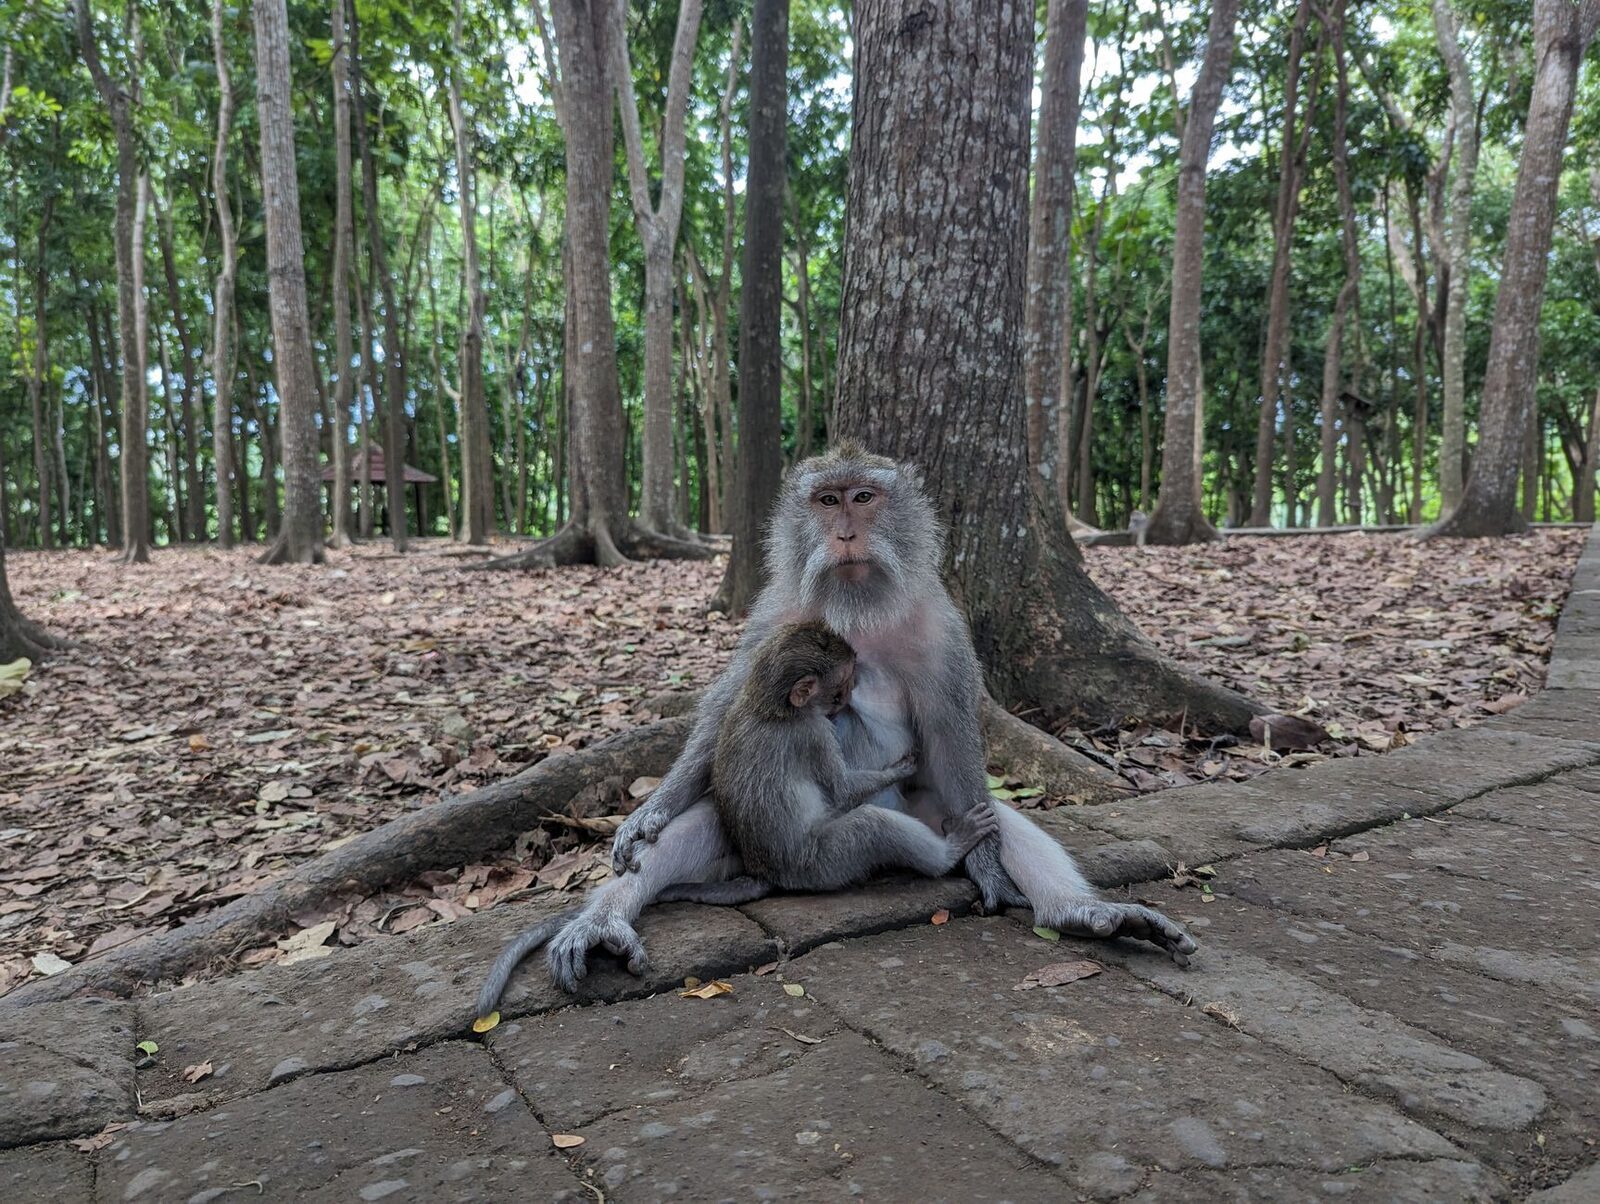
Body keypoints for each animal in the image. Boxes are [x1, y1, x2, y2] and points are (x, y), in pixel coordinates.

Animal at [511, 442, 1195, 995]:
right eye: (826, 500)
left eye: (864, 498)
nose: (844, 534)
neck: (857, 606)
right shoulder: (777, 612)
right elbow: (728, 713)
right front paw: (649, 813)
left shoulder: (942, 626)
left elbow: (950, 732)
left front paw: (990, 870)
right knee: (696, 825)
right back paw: (604, 920)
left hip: (925, 810)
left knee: (987, 816)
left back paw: (1079, 913)